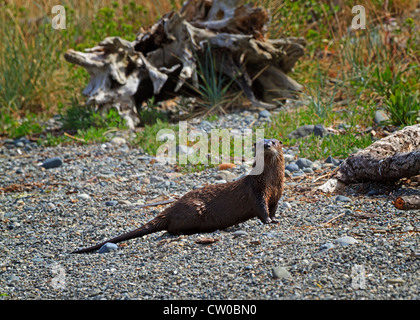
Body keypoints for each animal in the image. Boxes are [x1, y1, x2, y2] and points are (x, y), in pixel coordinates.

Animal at [72, 139, 286, 254]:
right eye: (259, 143)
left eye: (274, 142)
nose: (267, 145)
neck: (270, 183)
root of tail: (172, 207)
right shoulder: (257, 191)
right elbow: (261, 209)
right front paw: (269, 222)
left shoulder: (277, 195)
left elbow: (273, 209)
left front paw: (275, 219)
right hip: (194, 209)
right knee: (172, 227)